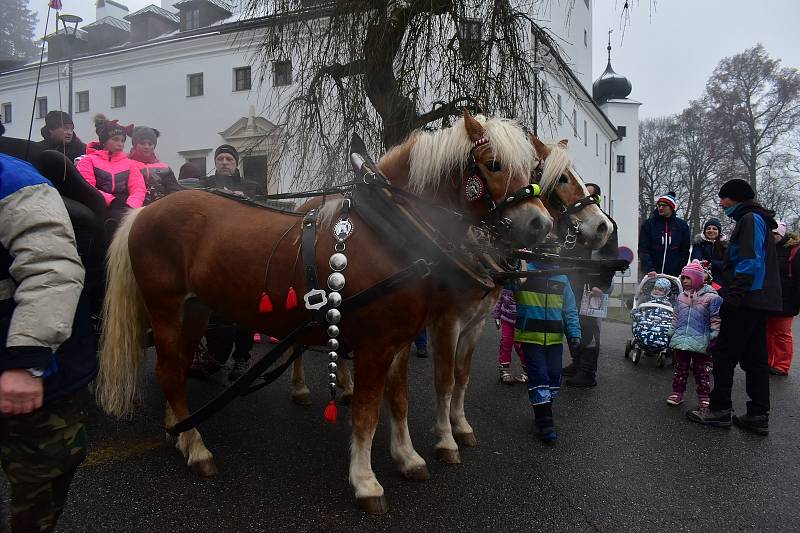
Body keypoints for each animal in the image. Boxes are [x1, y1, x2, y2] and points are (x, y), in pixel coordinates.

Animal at [97, 110, 552, 512]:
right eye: (493, 165)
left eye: (534, 169)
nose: (540, 225)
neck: (389, 230)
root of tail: (146, 210)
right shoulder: (376, 344)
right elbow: (367, 412)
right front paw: (366, 482)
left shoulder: (402, 340)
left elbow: (399, 401)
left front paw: (408, 458)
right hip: (165, 305)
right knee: (169, 370)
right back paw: (196, 448)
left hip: (194, 309)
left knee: (175, 366)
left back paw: (178, 429)